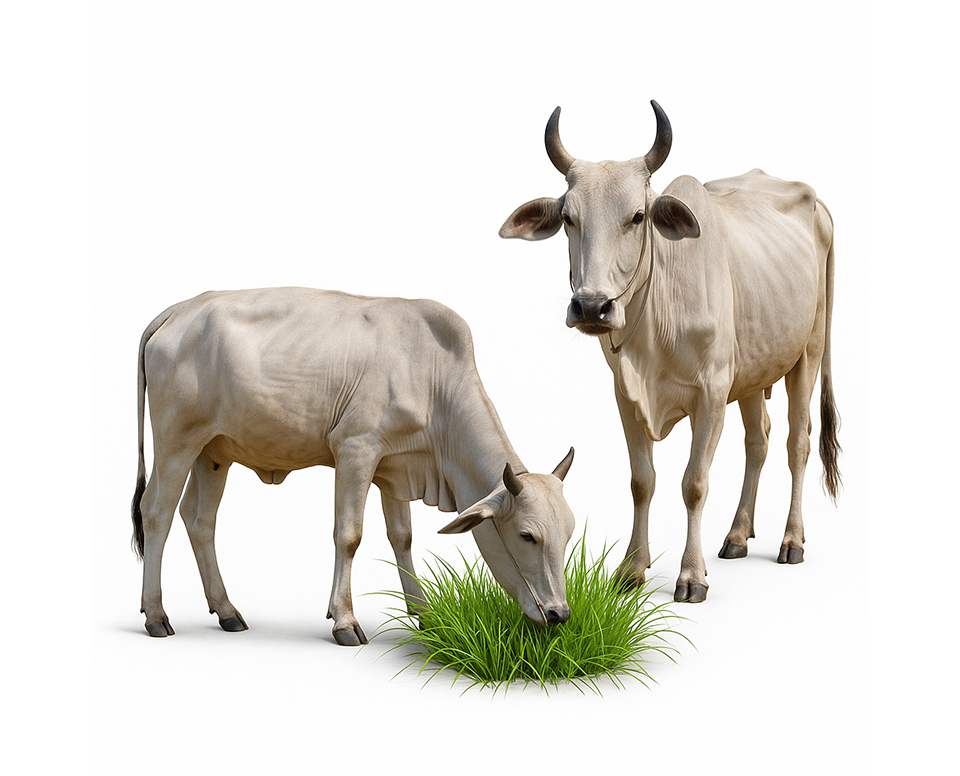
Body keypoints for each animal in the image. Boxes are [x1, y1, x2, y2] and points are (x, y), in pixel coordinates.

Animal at [131, 287, 576, 644]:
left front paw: (425, 614)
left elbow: (402, 537)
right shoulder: (355, 450)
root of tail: (180, 308)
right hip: (175, 442)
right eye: (527, 536)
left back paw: (227, 611)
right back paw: (156, 615)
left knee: (199, 518)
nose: (560, 614)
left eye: (569, 534)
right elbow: (349, 535)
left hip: (212, 453)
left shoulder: (395, 468)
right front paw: (344, 620)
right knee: (156, 512)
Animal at [499, 101, 839, 603]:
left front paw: (691, 575)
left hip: (808, 353)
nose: (592, 306)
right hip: (753, 371)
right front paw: (630, 569)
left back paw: (791, 540)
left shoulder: (712, 394)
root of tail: (817, 203)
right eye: (568, 219)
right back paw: (737, 535)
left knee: (797, 441)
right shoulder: (626, 396)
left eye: (638, 216)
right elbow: (642, 482)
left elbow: (694, 483)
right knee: (757, 440)